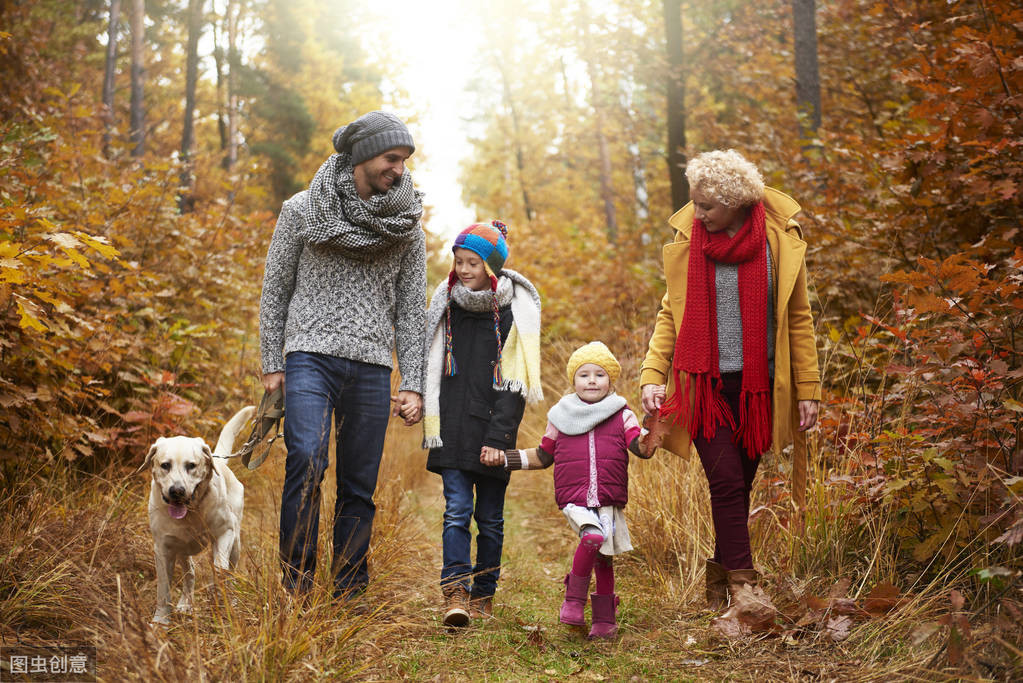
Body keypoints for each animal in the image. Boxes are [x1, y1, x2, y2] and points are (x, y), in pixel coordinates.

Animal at [142, 404, 253, 625]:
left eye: (191, 465)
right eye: (165, 465)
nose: (177, 491)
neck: (191, 512)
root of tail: (221, 463)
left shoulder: (224, 534)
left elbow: (219, 569)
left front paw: (218, 599)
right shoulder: (163, 548)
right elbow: (163, 588)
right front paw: (161, 620)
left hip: (235, 544)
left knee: (230, 572)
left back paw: (230, 600)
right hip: (182, 547)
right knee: (190, 573)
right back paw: (186, 603)